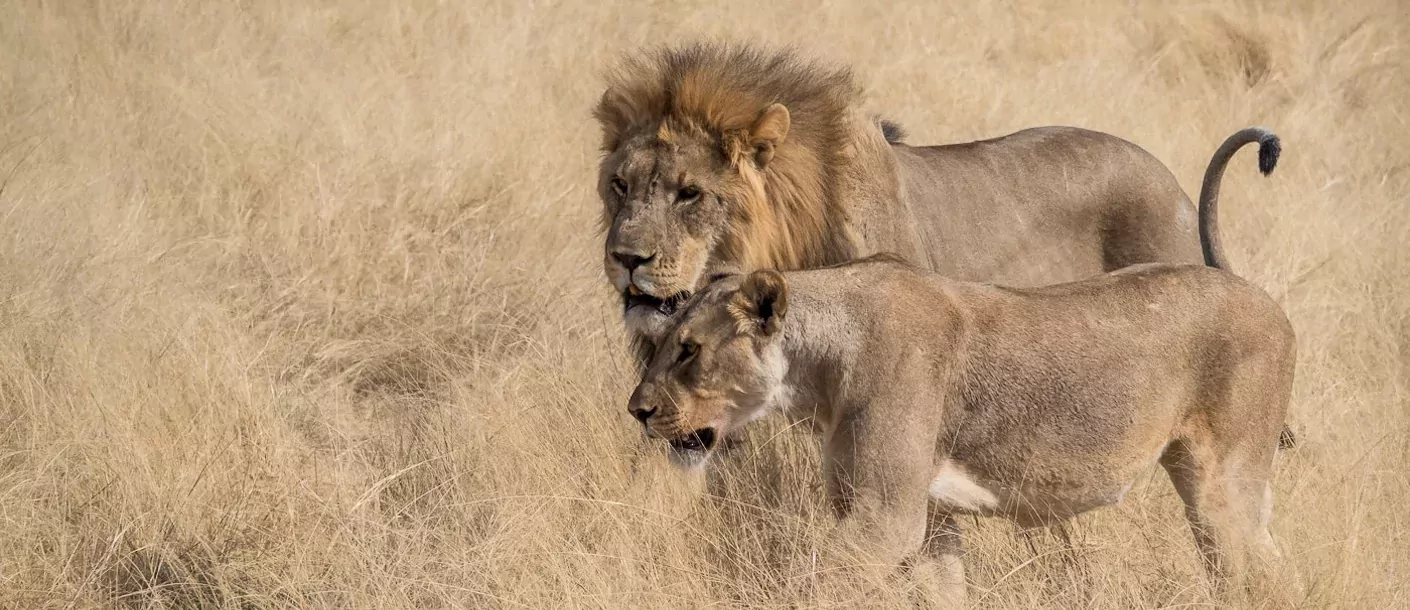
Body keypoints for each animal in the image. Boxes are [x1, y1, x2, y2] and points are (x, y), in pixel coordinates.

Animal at [634, 253, 1291, 602]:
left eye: (689, 350)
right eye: (660, 343)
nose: (636, 409)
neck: (815, 374)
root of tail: (1273, 306)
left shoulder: (886, 515)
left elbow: (816, 587)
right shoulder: (926, 516)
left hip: (1222, 487)